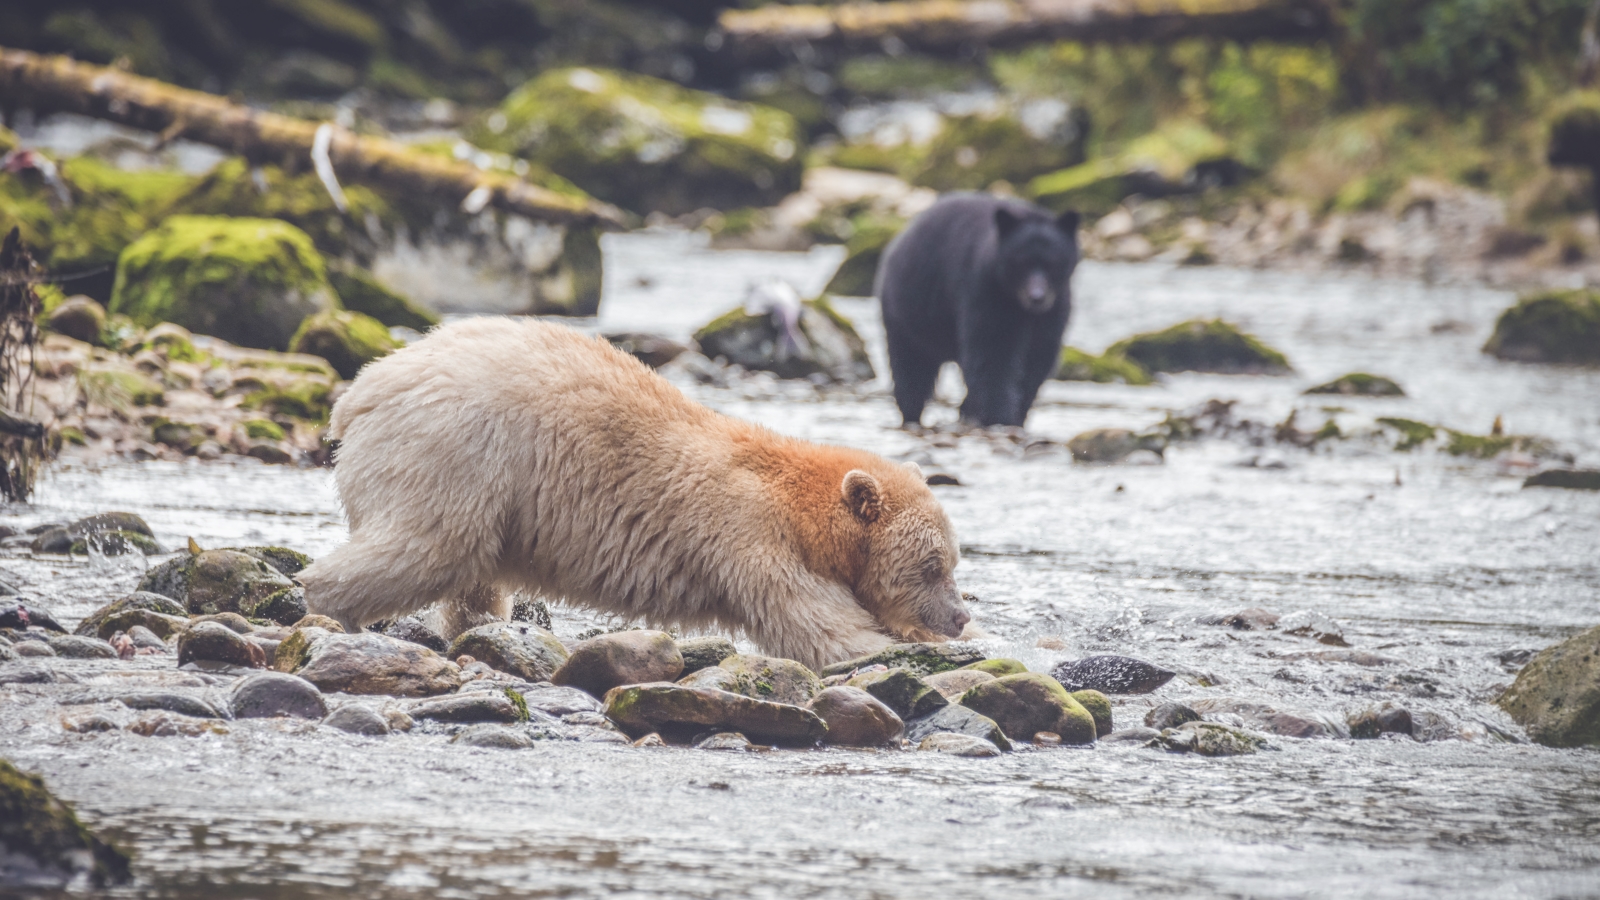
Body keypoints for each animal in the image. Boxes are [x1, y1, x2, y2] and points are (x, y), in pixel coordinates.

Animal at [876, 192, 1088, 425]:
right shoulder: (984, 291)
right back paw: (912, 412)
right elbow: (994, 351)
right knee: (911, 367)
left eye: (1052, 263)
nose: (1037, 298)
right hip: (910, 313)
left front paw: (1017, 414)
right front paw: (1001, 416)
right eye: (1021, 262)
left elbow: (1038, 357)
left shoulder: (1055, 309)